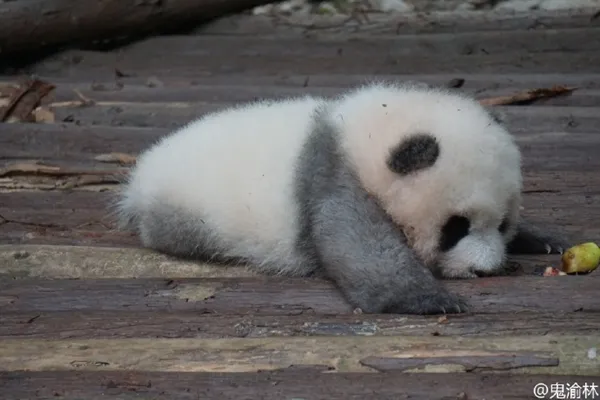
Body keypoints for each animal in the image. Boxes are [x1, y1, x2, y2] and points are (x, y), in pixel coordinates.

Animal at [115, 81, 568, 316]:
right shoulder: (333, 176)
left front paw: (543, 241)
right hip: (185, 208)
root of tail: (141, 175)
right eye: (456, 228)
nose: (485, 270)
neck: (363, 131)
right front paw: (432, 301)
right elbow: (362, 248)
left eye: (503, 224)